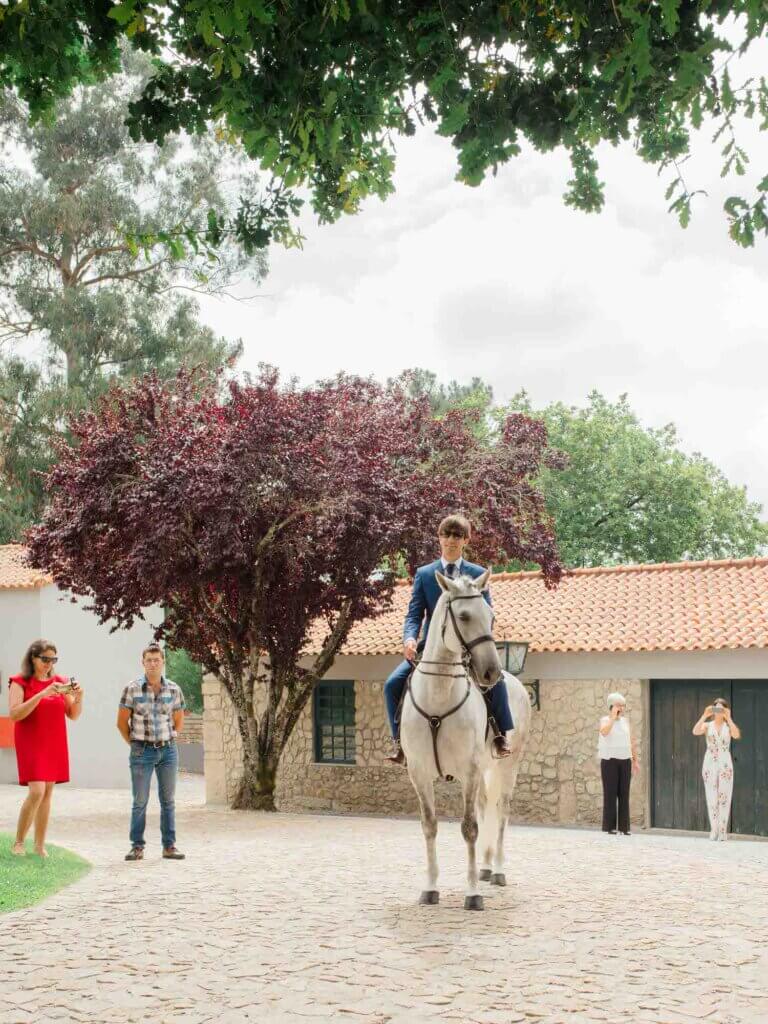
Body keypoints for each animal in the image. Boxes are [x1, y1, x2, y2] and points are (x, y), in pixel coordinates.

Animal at [399, 569, 532, 913]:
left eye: (491, 616)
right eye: (463, 616)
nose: (490, 673)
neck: (438, 697)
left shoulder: (469, 772)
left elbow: (470, 828)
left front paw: (472, 893)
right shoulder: (419, 774)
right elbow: (430, 826)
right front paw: (430, 887)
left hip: (508, 765)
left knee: (501, 810)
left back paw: (496, 870)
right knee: (486, 805)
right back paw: (484, 867)